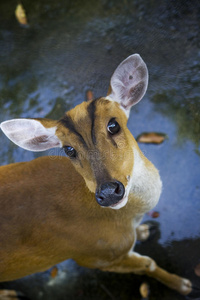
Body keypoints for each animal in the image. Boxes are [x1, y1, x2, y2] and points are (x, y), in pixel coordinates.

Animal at [0, 55, 192, 296]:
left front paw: (144, 231)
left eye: (114, 125)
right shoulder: (95, 256)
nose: (108, 192)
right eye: (69, 149)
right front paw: (183, 285)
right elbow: (149, 263)